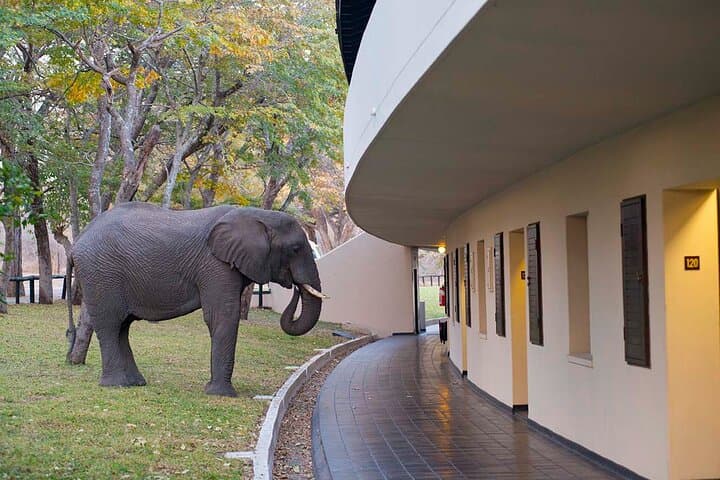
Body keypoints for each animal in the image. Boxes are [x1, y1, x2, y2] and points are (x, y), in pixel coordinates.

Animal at [65, 202, 325, 397]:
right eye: (295, 249)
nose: (295, 286)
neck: (257, 214)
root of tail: (77, 243)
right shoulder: (215, 264)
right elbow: (222, 316)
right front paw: (221, 395)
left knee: (122, 327)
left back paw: (135, 383)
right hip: (101, 274)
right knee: (110, 325)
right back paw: (116, 385)